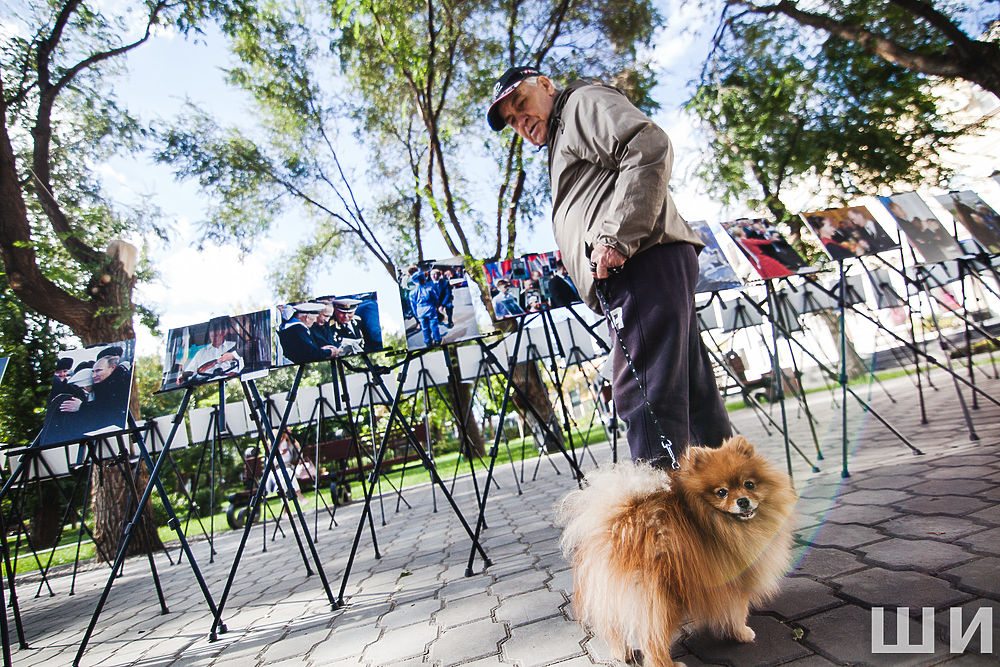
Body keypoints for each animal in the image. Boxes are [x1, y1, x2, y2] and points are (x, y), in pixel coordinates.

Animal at [560, 436, 792, 664]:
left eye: (749, 484)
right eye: (722, 492)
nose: (743, 501)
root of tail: (621, 525)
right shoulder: (734, 580)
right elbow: (737, 612)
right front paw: (742, 633)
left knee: (615, 628)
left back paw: (621, 653)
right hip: (660, 600)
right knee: (652, 640)